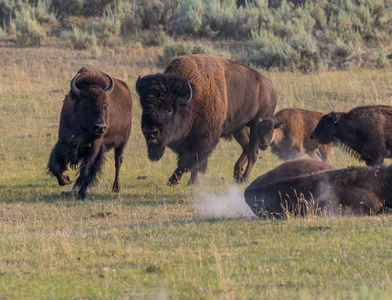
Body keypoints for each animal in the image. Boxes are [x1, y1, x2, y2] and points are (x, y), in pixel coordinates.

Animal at [46, 67, 132, 200]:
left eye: (105, 104)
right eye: (84, 103)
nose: (100, 127)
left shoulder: (95, 148)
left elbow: (86, 170)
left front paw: (82, 194)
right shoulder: (63, 142)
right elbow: (55, 166)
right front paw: (66, 180)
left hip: (122, 141)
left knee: (118, 161)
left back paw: (115, 188)